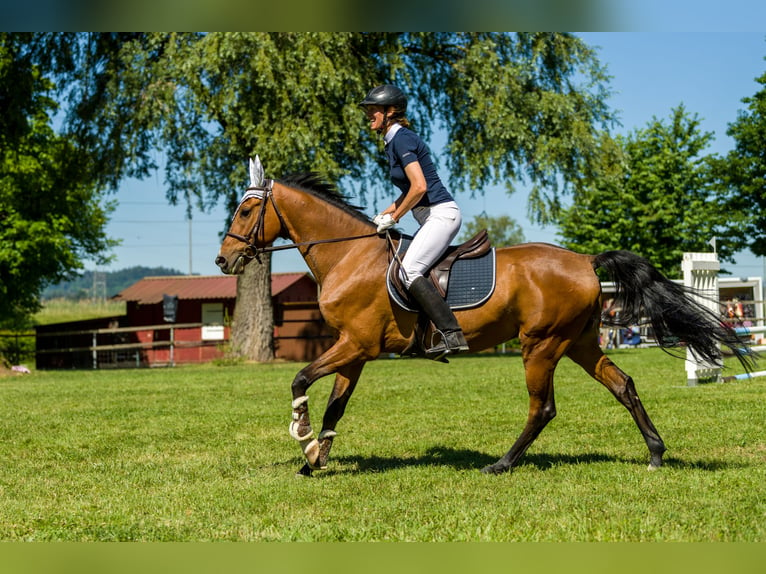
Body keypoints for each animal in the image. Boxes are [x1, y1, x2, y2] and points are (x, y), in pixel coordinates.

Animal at [216, 156, 756, 476]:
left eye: (244, 212)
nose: (223, 260)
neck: (350, 256)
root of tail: (585, 260)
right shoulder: (356, 351)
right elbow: (334, 405)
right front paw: (314, 459)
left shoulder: (356, 345)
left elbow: (300, 381)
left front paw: (301, 436)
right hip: (580, 342)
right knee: (623, 385)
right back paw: (655, 454)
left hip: (541, 345)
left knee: (543, 408)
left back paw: (501, 464)